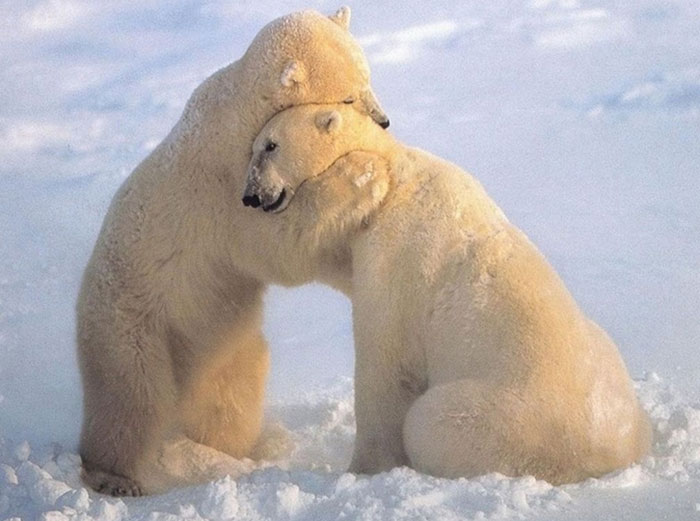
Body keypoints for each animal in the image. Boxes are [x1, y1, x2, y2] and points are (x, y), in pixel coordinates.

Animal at [77, 7, 390, 496]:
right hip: (131, 326)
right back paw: (116, 477)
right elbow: (279, 245)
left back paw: (245, 449)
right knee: (132, 400)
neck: (238, 113)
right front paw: (361, 180)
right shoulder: (225, 192)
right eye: (347, 96)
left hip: (222, 341)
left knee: (231, 395)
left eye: (367, 77)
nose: (384, 121)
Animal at [241, 103, 652, 484]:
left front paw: (363, 468)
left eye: (271, 145)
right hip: (603, 353)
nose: (250, 195)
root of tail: (608, 455)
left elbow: (386, 363)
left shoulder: (396, 256)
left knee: (428, 423)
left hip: (504, 419)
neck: (399, 175)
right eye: (255, 147)